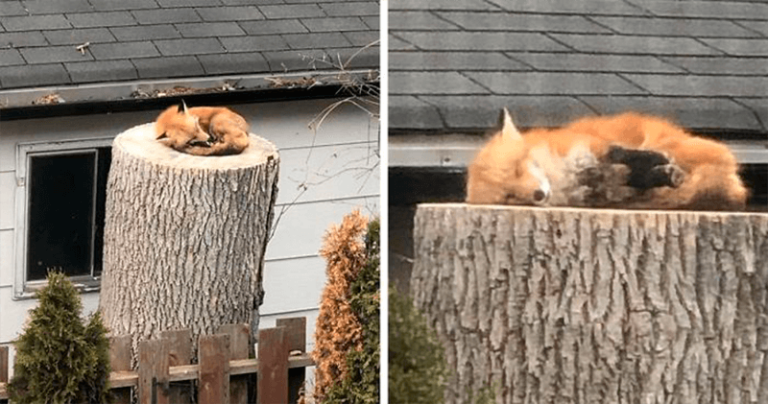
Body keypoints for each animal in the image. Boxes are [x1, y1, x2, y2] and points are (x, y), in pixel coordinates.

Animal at [464, 109, 748, 211]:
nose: (538, 195)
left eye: (517, 169)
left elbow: (619, 154)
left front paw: (654, 164)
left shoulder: (592, 147)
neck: (562, 178)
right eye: (509, 197)